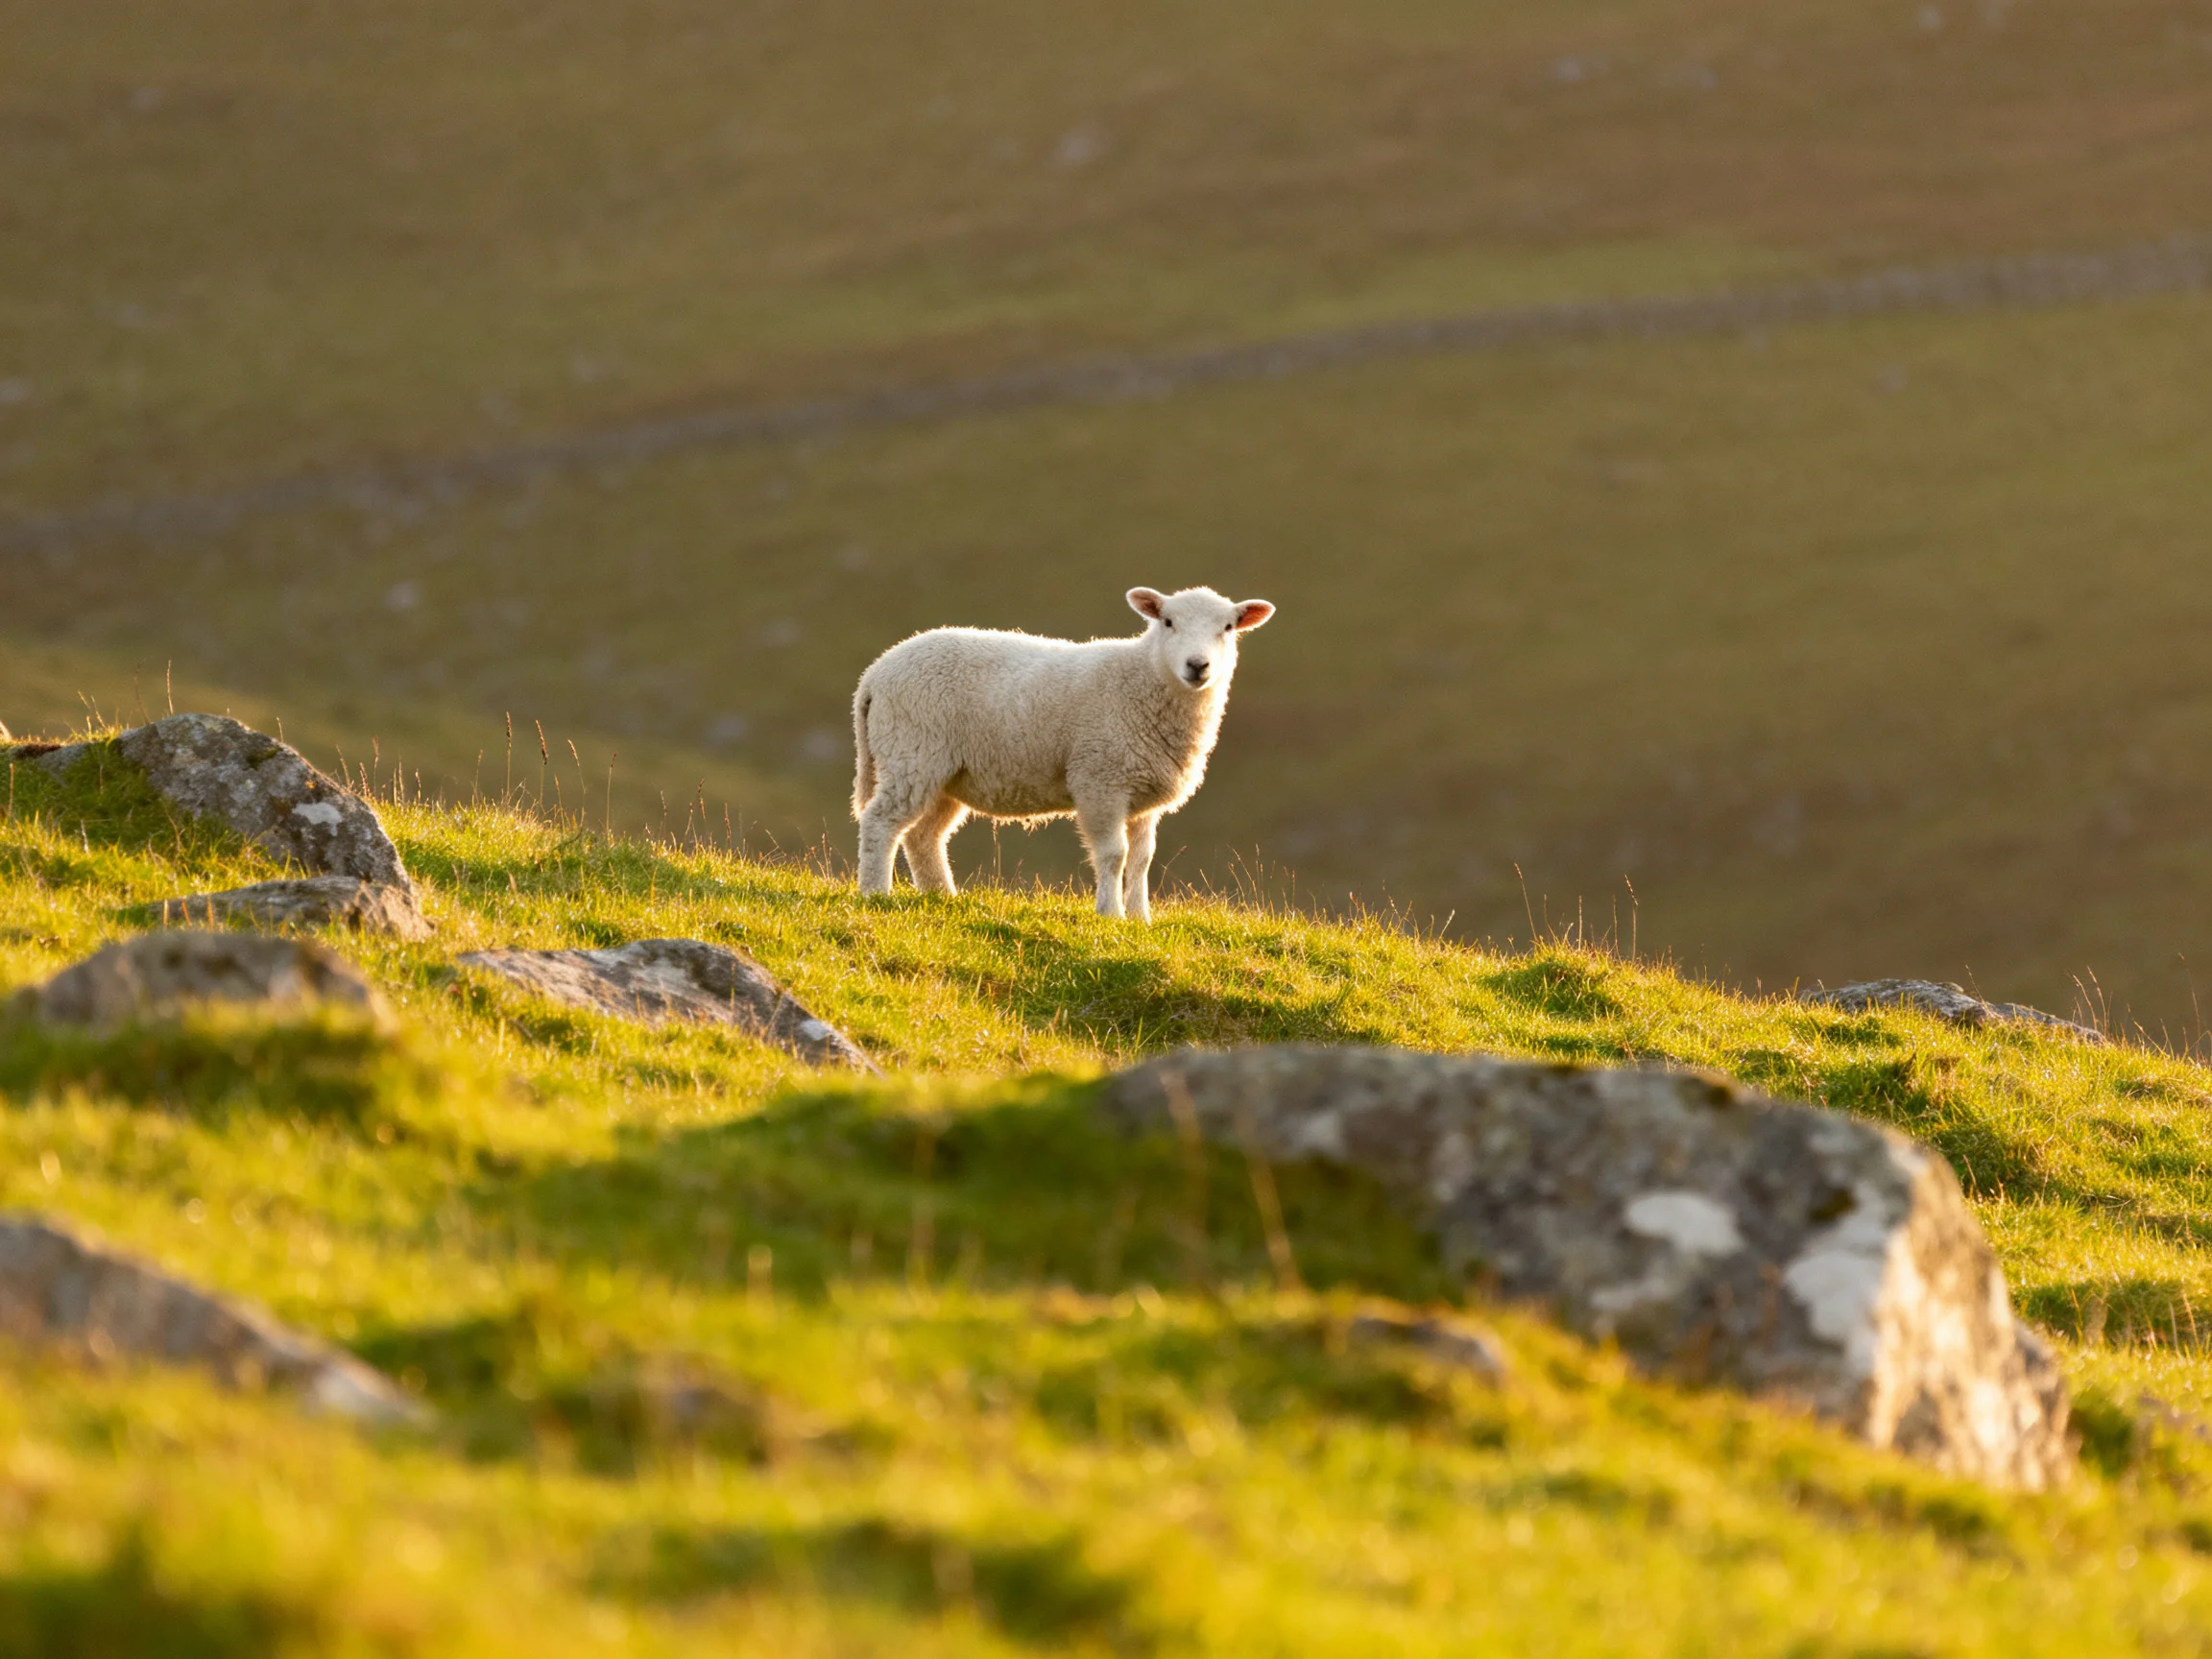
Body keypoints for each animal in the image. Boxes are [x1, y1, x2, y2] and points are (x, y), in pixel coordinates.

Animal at [852, 585, 1276, 920]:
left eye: (1228, 628)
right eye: (1168, 622)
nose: (1197, 666)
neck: (1143, 679)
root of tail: (874, 674)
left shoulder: (1143, 793)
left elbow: (1142, 859)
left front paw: (1141, 919)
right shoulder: (1099, 780)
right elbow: (1114, 855)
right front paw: (1111, 915)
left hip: (947, 772)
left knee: (924, 836)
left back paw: (942, 897)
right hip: (913, 752)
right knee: (880, 822)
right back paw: (875, 894)